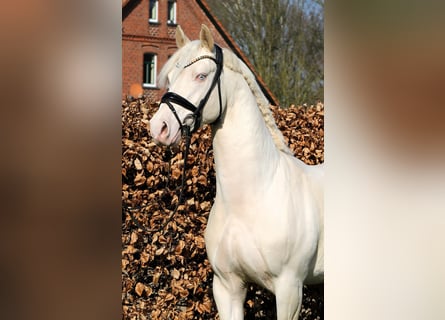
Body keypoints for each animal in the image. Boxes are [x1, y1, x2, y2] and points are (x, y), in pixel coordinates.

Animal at [149, 23, 322, 318]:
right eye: (170, 78)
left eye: (201, 75)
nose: (159, 127)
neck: (252, 199)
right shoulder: (227, 287)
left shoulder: (290, 289)